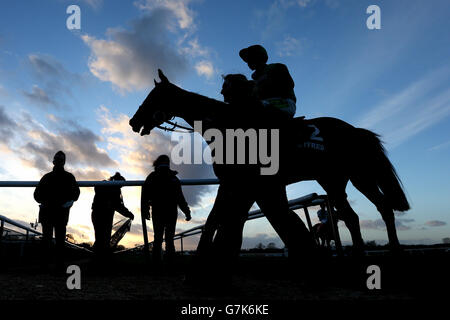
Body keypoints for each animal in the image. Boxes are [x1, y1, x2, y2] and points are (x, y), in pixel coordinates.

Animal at [128, 70, 410, 252]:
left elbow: (217, 218)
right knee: (376, 211)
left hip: (340, 179)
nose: (133, 121)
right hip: (353, 178)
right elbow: (216, 218)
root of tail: (356, 131)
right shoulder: (236, 184)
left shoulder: (241, 183)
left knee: (358, 215)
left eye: (153, 97)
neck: (230, 125)